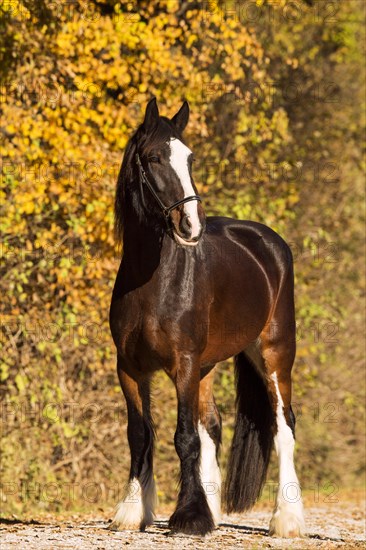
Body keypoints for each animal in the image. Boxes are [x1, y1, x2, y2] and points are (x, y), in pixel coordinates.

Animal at [109, 98, 306, 540]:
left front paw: (188, 517)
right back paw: (214, 509)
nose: (191, 226)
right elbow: (140, 434)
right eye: (154, 158)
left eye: (190, 158)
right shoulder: (129, 367)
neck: (152, 282)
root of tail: (268, 242)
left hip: (274, 354)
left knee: (283, 425)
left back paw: (287, 519)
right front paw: (133, 510)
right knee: (212, 426)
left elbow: (184, 437)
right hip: (207, 366)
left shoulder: (182, 363)